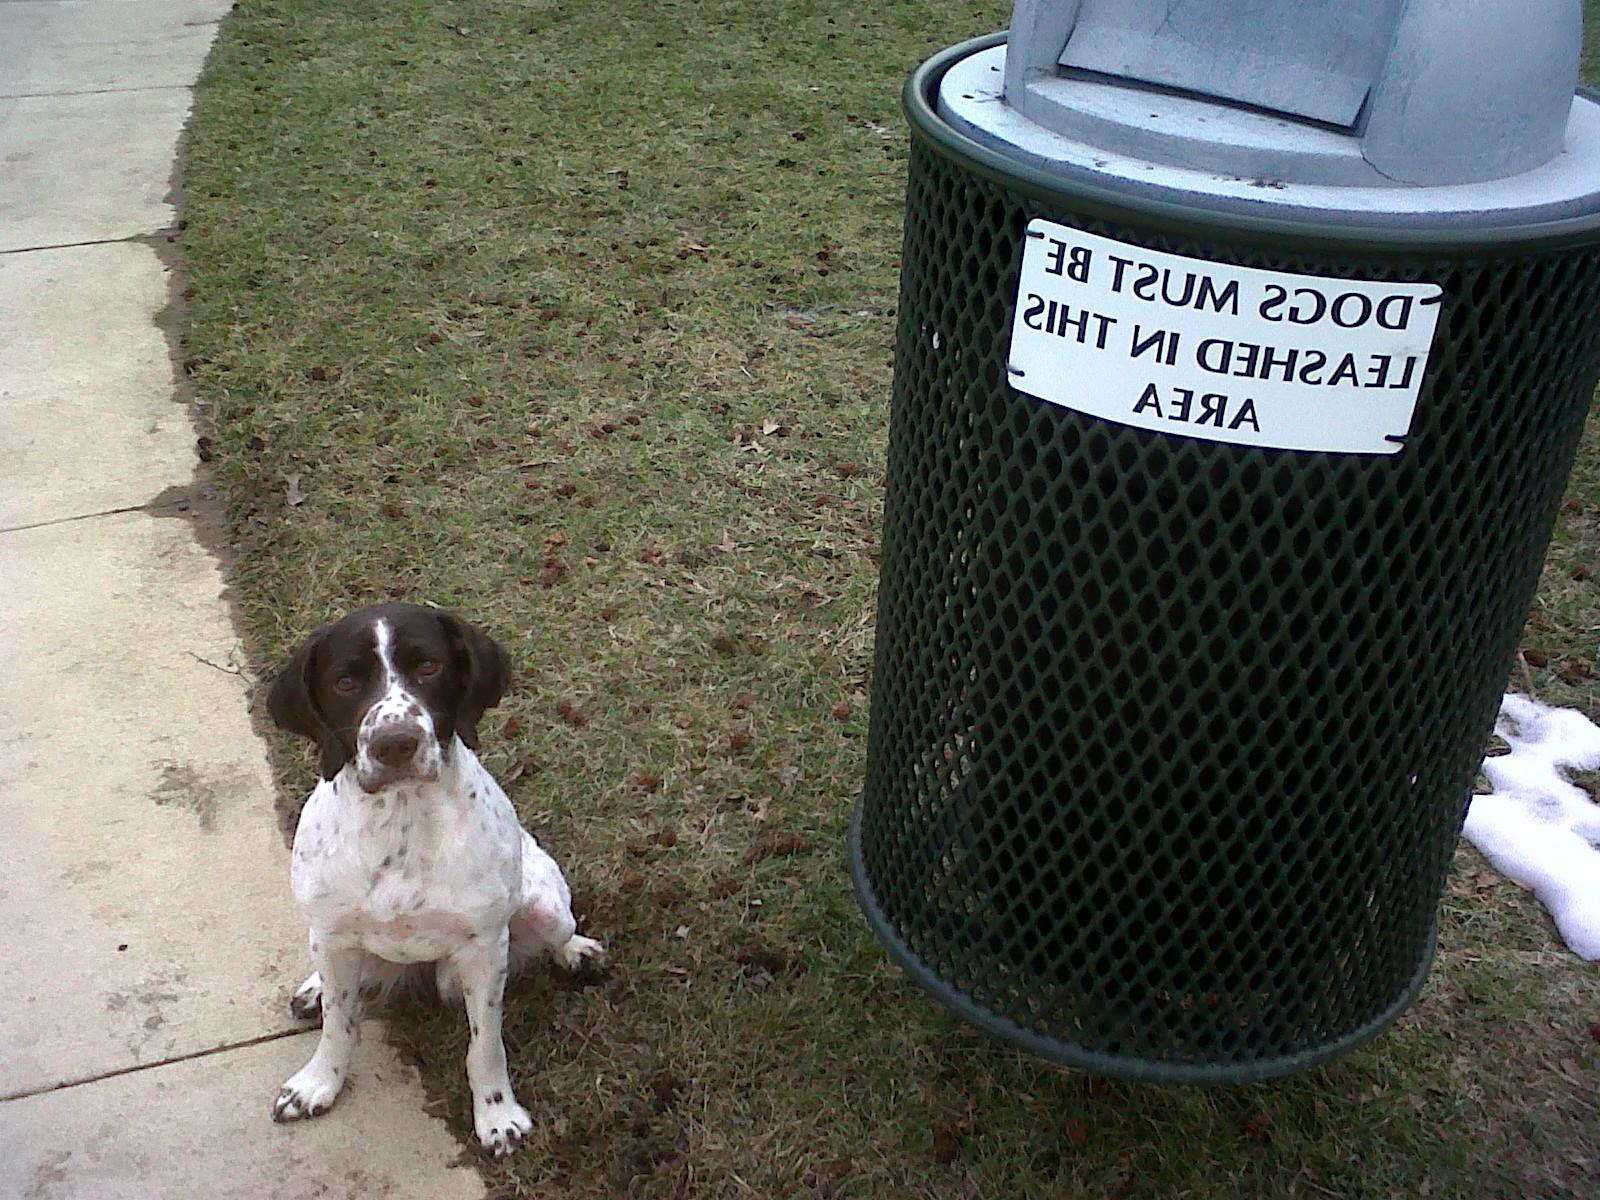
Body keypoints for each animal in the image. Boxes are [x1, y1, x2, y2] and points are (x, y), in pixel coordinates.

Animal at [265, 604, 601, 1158]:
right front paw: (318, 1082)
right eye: (345, 682)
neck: (401, 822)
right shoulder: (332, 934)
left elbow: (485, 1046)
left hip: (547, 910)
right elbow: (340, 1023)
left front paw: (497, 1115)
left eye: (428, 667)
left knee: (559, 931)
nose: (395, 744)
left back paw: (577, 951)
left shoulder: (484, 950)